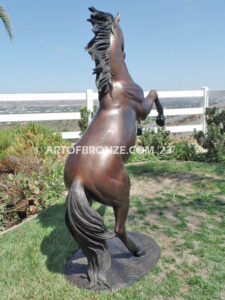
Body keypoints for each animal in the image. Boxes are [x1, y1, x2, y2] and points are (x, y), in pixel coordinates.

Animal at [64, 6, 164, 288]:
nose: (126, 49)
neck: (116, 87)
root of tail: (79, 178)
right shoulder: (142, 106)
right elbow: (155, 93)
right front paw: (161, 121)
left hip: (89, 199)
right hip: (122, 195)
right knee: (118, 229)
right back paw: (138, 251)